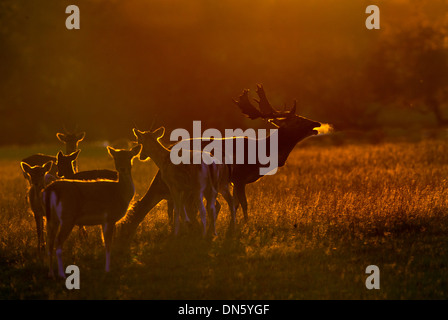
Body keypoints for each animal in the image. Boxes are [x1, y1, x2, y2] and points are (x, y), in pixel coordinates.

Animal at [43, 145, 142, 278]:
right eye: (115, 157)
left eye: (130, 156)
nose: (122, 168)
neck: (120, 192)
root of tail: (51, 189)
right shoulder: (110, 217)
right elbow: (108, 244)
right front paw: (108, 269)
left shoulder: (104, 221)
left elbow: (105, 243)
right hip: (67, 217)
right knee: (58, 243)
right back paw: (61, 274)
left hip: (51, 219)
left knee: (50, 243)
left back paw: (51, 273)